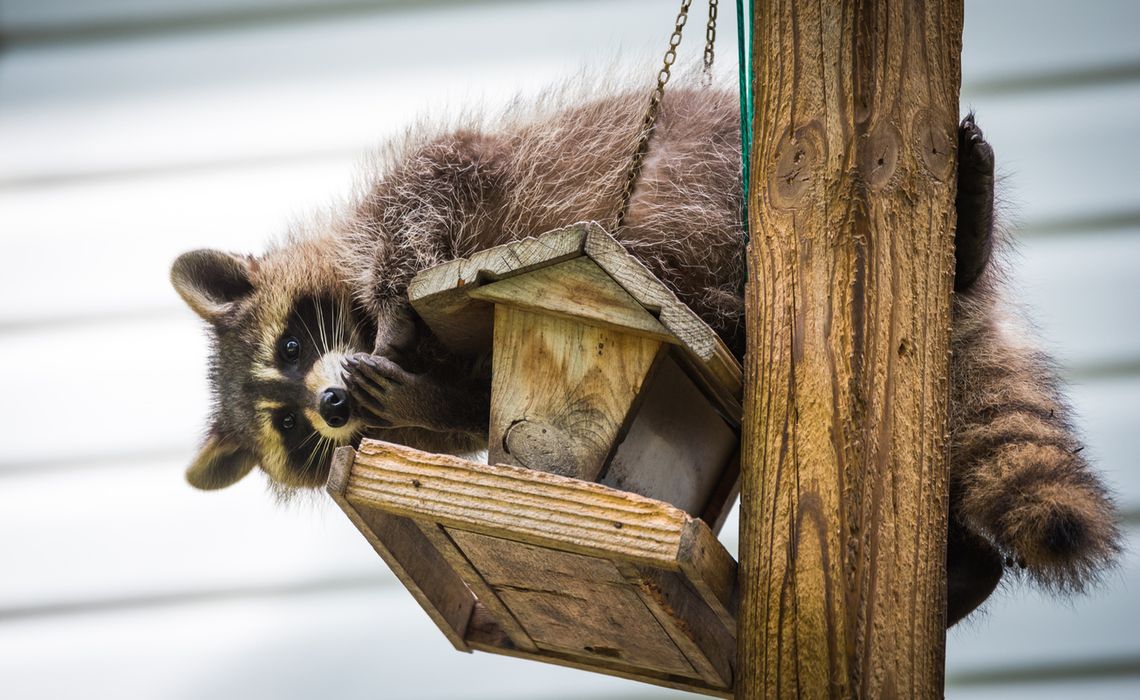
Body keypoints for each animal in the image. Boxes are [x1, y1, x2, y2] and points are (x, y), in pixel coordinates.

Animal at [171, 86, 1121, 624]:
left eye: (294, 343)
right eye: (291, 431)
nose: (330, 406)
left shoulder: (432, 186)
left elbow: (427, 196)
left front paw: (396, 304)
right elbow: (469, 405)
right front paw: (413, 402)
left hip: (724, 179)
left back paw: (967, 235)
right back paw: (966, 571)